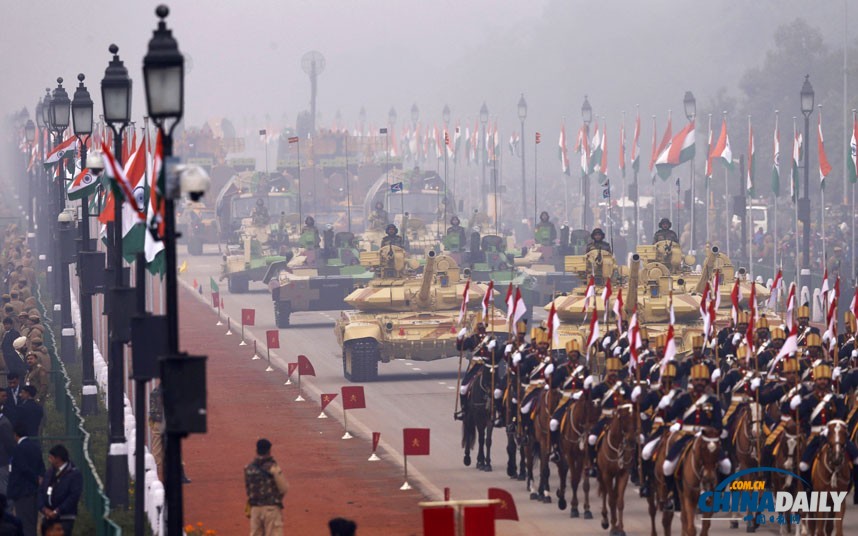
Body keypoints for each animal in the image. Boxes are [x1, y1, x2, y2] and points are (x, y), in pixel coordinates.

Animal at [596, 404, 636, 532]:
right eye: (623, 419)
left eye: (635, 418)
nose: (632, 440)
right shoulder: (606, 474)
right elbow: (611, 500)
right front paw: (613, 527)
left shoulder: (623, 474)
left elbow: (619, 501)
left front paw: (620, 527)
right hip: (601, 474)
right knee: (605, 492)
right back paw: (605, 520)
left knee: (612, 493)